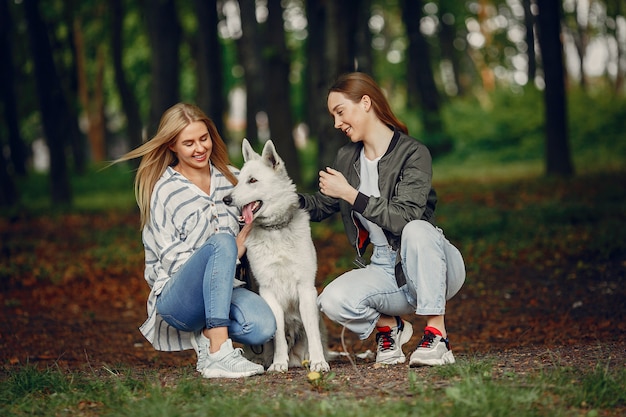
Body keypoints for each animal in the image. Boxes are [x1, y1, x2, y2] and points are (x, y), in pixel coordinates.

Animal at [224, 138, 332, 372]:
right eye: (238, 181)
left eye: (252, 180)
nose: (226, 199)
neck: (275, 229)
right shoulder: (268, 291)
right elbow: (278, 334)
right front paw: (279, 363)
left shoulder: (306, 289)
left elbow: (312, 332)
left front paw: (319, 362)